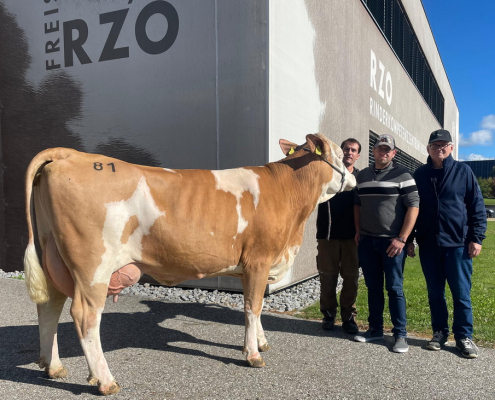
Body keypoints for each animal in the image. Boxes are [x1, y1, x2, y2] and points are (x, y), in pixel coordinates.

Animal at [24, 134, 356, 394]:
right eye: (341, 155)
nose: (353, 177)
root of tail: (71, 154)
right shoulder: (258, 259)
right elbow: (253, 307)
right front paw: (252, 354)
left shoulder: (253, 266)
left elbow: (256, 305)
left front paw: (260, 342)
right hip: (93, 265)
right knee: (85, 315)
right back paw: (105, 380)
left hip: (54, 254)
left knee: (50, 306)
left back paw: (53, 366)